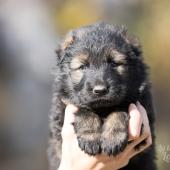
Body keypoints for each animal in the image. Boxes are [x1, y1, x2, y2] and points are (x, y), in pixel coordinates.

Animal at [48, 22, 157, 170]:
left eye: (114, 63)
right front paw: (90, 138)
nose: (100, 90)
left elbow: (120, 109)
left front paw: (113, 138)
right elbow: (84, 110)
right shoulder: (63, 107)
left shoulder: (141, 108)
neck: (102, 109)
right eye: (82, 66)